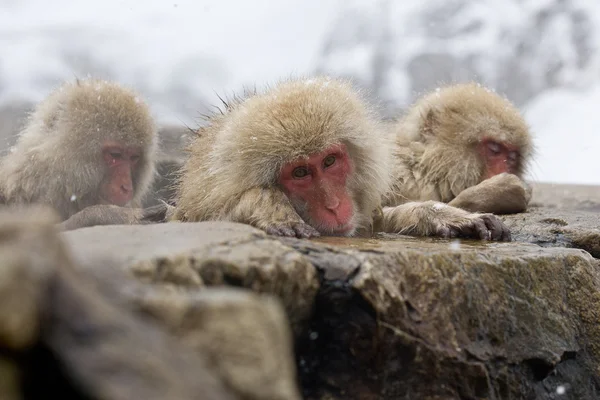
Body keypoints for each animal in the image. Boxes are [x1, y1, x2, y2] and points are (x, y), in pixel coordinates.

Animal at [172, 77, 510, 241]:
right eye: (300, 173)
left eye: (330, 162)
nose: (334, 205)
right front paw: (267, 206)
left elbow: (378, 220)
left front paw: (442, 215)